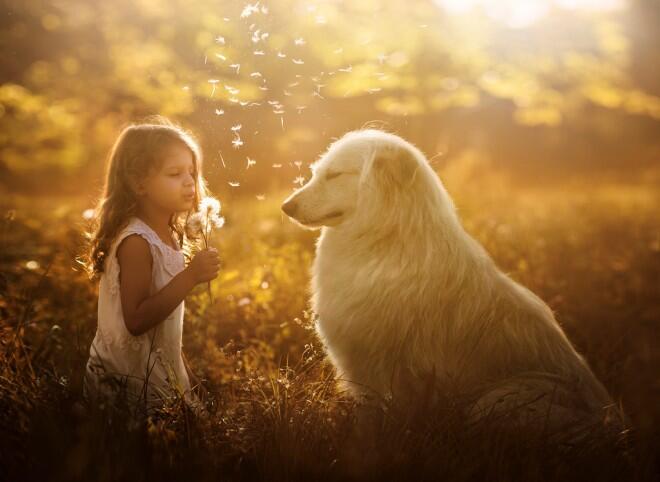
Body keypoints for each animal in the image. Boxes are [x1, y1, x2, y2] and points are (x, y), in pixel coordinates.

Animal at [282, 128, 616, 426]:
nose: (286, 207)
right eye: (316, 173)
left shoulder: (377, 369)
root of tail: (613, 425)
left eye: (334, 175)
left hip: (495, 401)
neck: (388, 238)